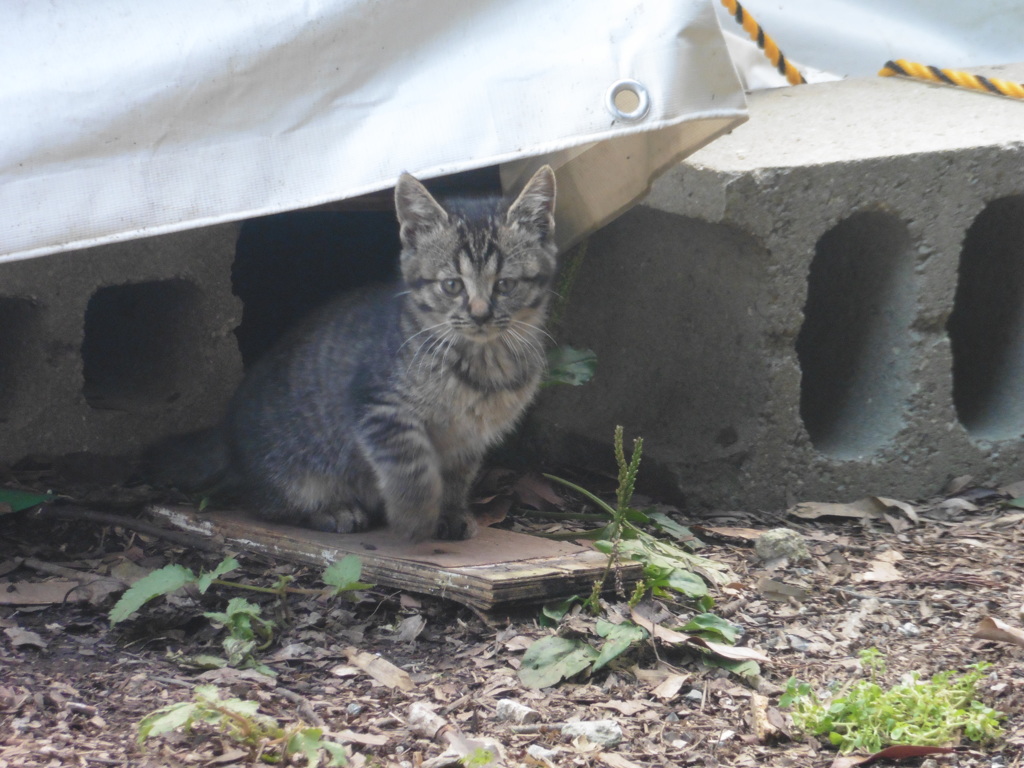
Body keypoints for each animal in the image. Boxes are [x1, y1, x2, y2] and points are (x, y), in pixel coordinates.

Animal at [151, 167, 557, 540]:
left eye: (505, 284)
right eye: (452, 285)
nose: (480, 314)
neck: (484, 362)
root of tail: (227, 428)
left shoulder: (469, 439)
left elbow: (457, 477)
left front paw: (451, 512)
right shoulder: (378, 406)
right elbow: (411, 465)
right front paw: (416, 514)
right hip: (293, 466)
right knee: (265, 504)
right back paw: (332, 511)